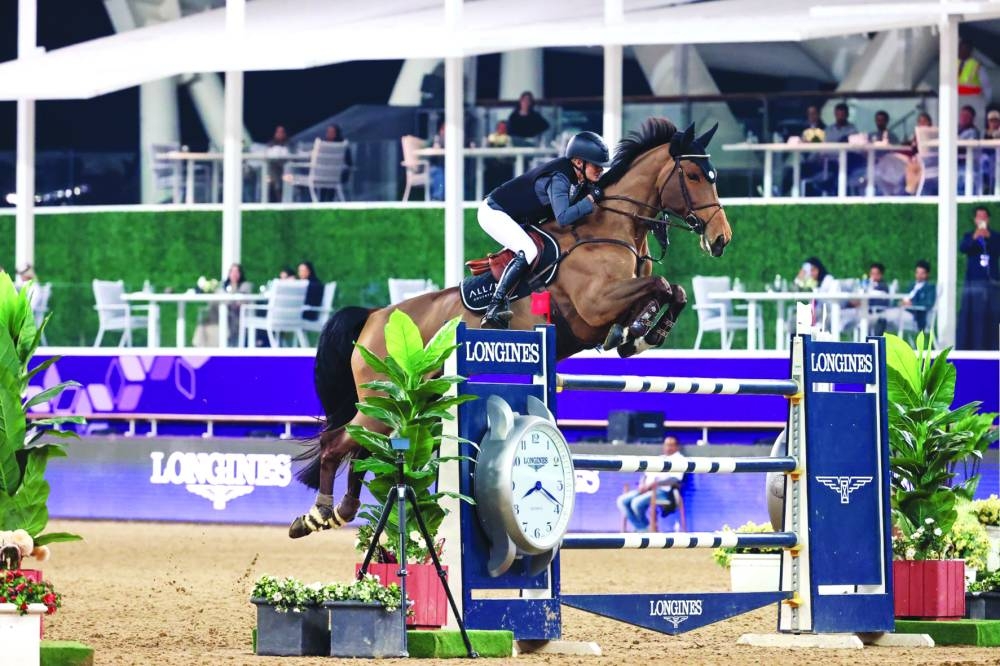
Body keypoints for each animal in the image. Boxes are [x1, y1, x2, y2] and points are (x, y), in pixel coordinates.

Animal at [288, 118, 732, 537]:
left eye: (714, 177)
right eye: (694, 176)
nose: (721, 239)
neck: (611, 230)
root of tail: (375, 316)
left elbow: (672, 289)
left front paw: (641, 332)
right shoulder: (596, 304)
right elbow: (659, 286)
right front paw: (639, 329)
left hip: (407, 403)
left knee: (364, 448)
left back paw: (342, 510)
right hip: (384, 400)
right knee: (338, 443)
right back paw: (317, 514)